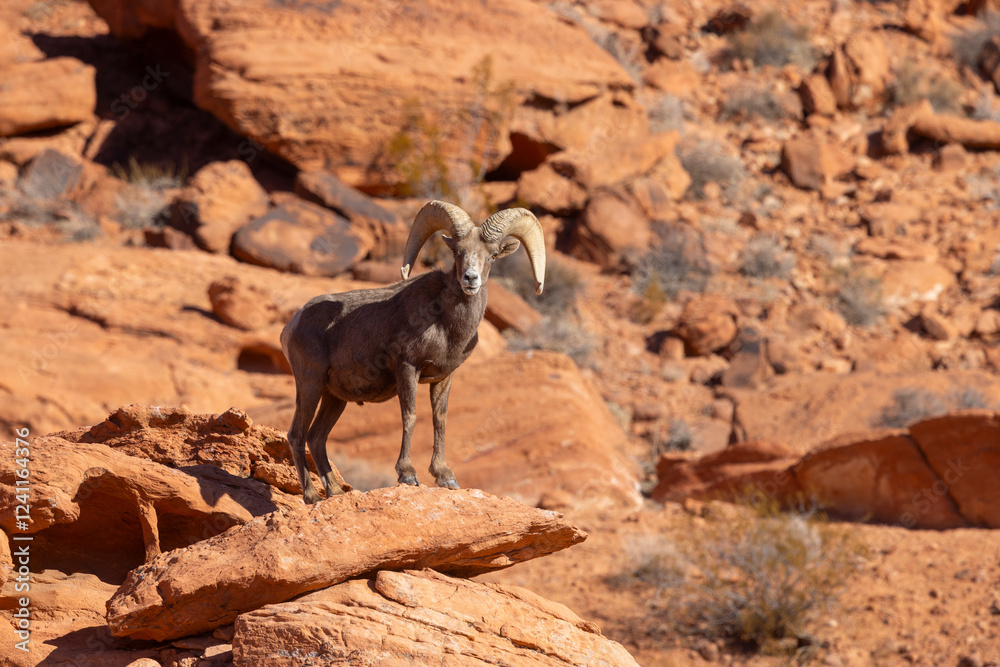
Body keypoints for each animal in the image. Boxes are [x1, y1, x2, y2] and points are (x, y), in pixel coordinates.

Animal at [280, 200, 546, 503]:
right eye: (457, 251)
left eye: (492, 255)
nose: (470, 278)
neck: (446, 325)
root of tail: (293, 324)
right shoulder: (407, 368)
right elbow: (411, 416)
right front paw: (407, 474)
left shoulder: (443, 377)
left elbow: (439, 419)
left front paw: (445, 477)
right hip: (310, 384)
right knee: (297, 435)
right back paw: (312, 497)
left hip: (335, 397)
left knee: (317, 437)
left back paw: (335, 493)